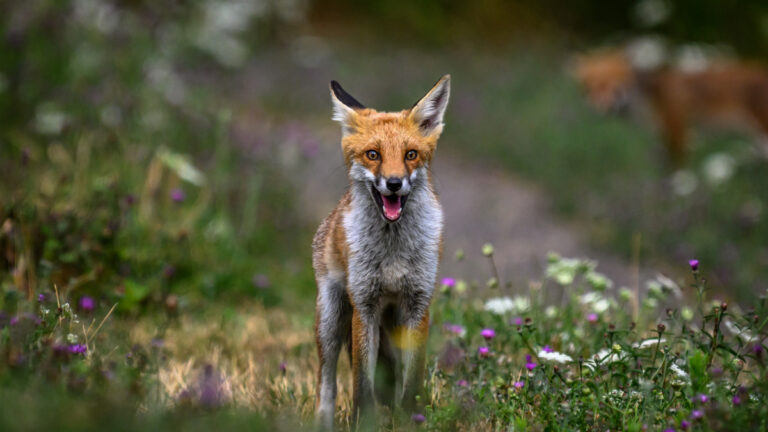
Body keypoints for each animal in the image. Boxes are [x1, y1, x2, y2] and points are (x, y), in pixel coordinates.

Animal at [312, 75, 450, 429]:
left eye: (411, 154)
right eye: (373, 154)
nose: (394, 183)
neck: (392, 255)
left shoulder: (418, 305)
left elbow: (411, 382)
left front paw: (413, 418)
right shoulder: (365, 306)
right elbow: (362, 384)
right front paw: (364, 422)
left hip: (393, 324)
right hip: (331, 319)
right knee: (327, 382)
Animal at [572, 49, 768, 166]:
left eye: (612, 86)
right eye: (591, 88)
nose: (604, 108)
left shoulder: (678, 129)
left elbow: (677, 167)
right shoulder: (665, 135)